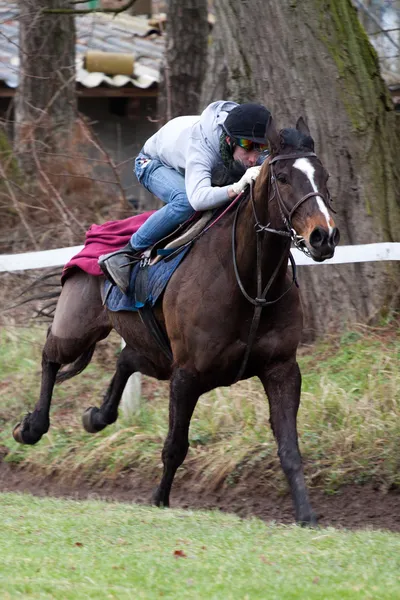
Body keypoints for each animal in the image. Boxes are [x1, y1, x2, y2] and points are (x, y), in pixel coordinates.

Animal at [12, 118, 340, 524]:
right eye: (281, 177)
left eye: (324, 175)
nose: (324, 236)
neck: (251, 281)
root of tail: (93, 239)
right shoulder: (187, 374)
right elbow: (175, 445)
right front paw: (158, 499)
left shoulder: (281, 368)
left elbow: (289, 447)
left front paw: (306, 515)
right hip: (78, 326)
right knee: (50, 354)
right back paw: (31, 427)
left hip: (153, 351)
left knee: (125, 359)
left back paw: (97, 416)